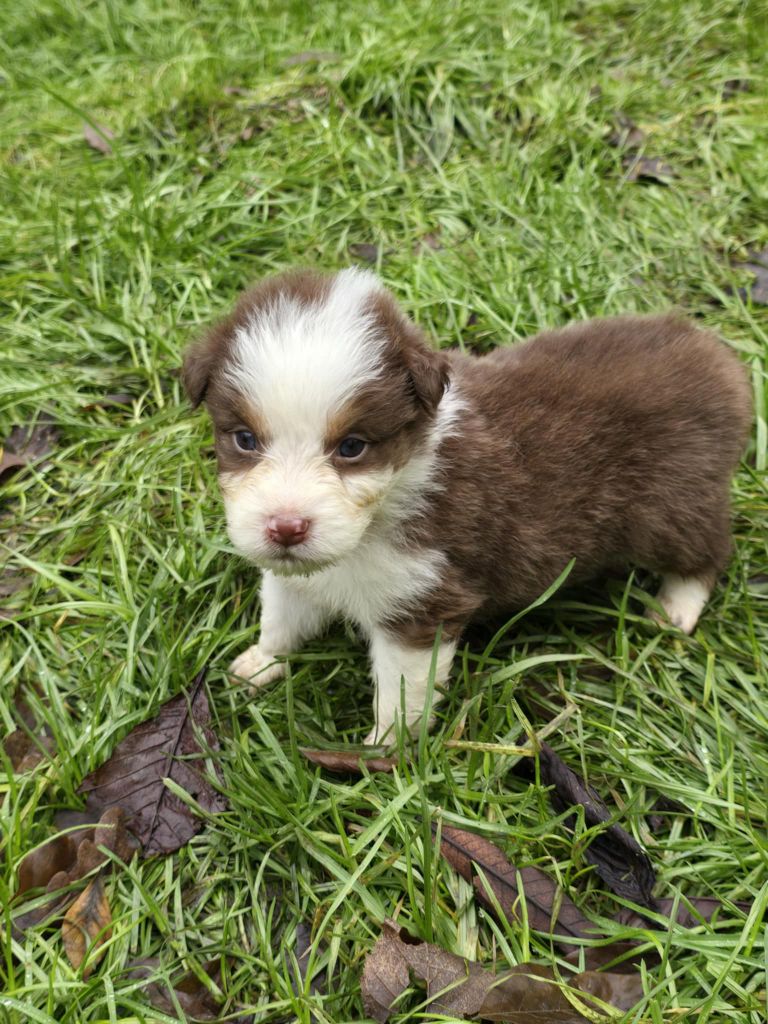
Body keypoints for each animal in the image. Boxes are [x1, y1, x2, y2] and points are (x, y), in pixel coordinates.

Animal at [185, 268, 753, 741]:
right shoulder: (297, 575)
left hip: (671, 506)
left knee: (710, 550)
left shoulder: (422, 605)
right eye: (244, 439)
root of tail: (716, 358)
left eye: (352, 446)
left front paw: (384, 754)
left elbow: (401, 695)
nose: (286, 528)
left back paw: (676, 607)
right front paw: (260, 663)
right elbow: (281, 617)